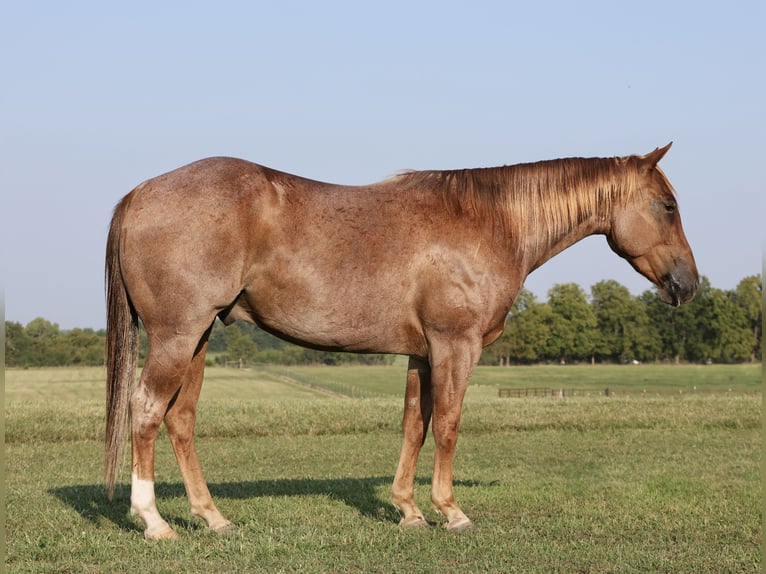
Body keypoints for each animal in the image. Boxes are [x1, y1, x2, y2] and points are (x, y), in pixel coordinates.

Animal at [108, 143, 704, 540]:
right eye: (668, 206)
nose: (688, 284)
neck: (489, 223)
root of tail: (140, 193)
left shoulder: (421, 353)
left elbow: (414, 425)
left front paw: (409, 511)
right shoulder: (456, 345)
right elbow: (447, 425)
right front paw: (451, 511)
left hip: (199, 337)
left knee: (180, 419)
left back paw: (212, 518)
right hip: (178, 336)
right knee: (146, 410)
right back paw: (154, 521)